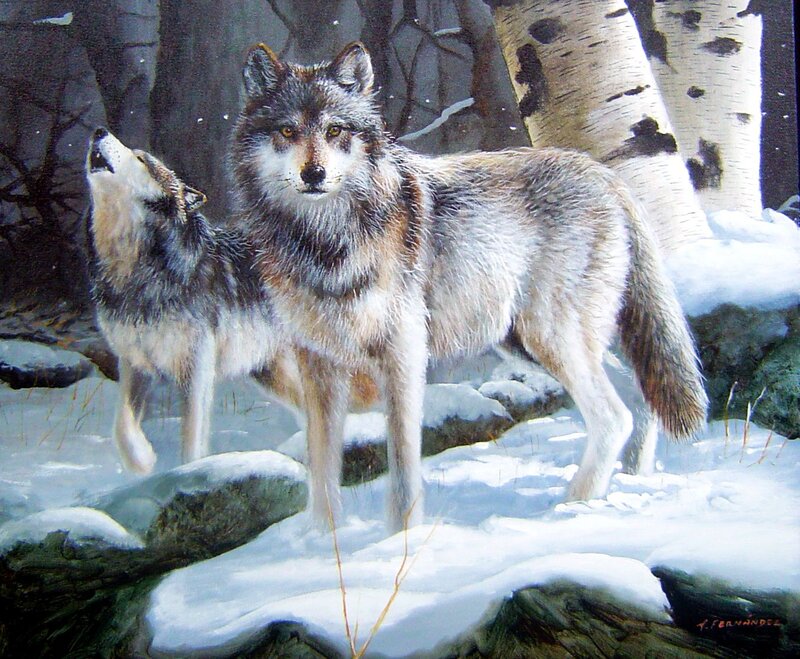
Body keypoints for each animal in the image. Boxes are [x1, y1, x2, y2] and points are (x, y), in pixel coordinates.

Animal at [85, 128, 376, 474]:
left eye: (141, 158)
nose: (98, 131)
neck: (138, 270)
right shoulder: (134, 365)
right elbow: (123, 427)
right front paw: (142, 462)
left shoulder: (197, 370)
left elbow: (192, 440)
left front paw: (191, 473)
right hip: (270, 374)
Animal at [231, 43, 708, 532]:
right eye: (287, 130)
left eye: (334, 130)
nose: (314, 174)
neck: (324, 242)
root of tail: (605, 175)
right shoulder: (318, 365)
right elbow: (322, 469)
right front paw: (325, 541)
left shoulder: (403, 356)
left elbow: (403, 470)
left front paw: (398, 541)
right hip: (528, 344)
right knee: (638, 398)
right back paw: (631, 480)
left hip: (548, 337)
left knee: (614, 416)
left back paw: (572, 506)